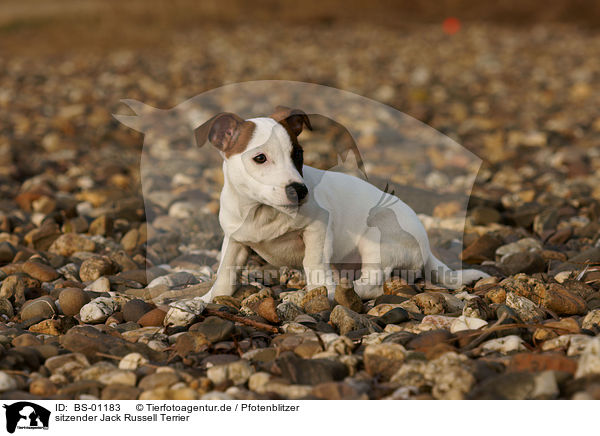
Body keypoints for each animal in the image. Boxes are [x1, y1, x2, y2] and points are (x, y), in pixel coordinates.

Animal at [196, 107, 488, 302]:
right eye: (260, 158)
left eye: (298, 154)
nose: (300, 191)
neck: (262, 212)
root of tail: (427, 248)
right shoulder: (235, 241)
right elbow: (224, 273)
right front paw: (206, 300)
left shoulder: (317, 227)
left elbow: (313, 263)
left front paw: (320, 292)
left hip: (378, 239)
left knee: (372, 284)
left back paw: (346, 289)